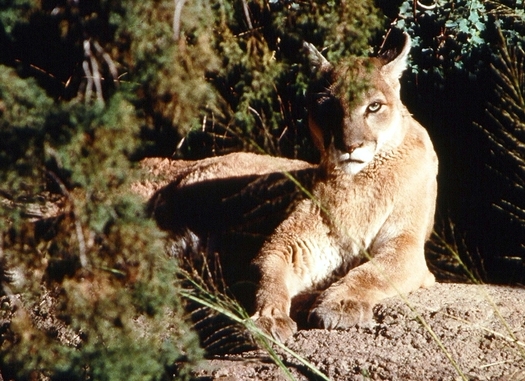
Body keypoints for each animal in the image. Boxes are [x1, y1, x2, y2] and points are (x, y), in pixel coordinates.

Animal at [145, 33, 436, 342]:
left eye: (374, 106)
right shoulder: (292, 244)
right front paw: (268, 318)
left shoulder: (405, 244)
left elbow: (372, 272)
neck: (356, 181)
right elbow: (269, 275)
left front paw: (340, 303)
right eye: (327, 107)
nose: (348, 146)